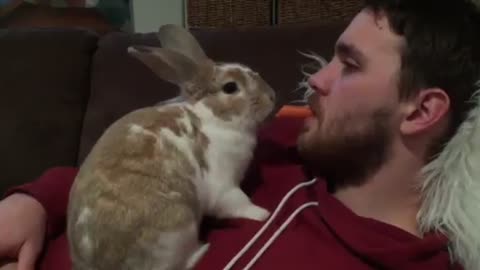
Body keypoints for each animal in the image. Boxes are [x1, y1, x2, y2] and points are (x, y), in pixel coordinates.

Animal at [67, 23, 278, 270]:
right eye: (230, 87)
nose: (272, 97)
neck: (212, 117)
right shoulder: (223, 184)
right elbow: (237, 202)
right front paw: (262, 214)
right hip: (179, 224)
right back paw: (202, 248)